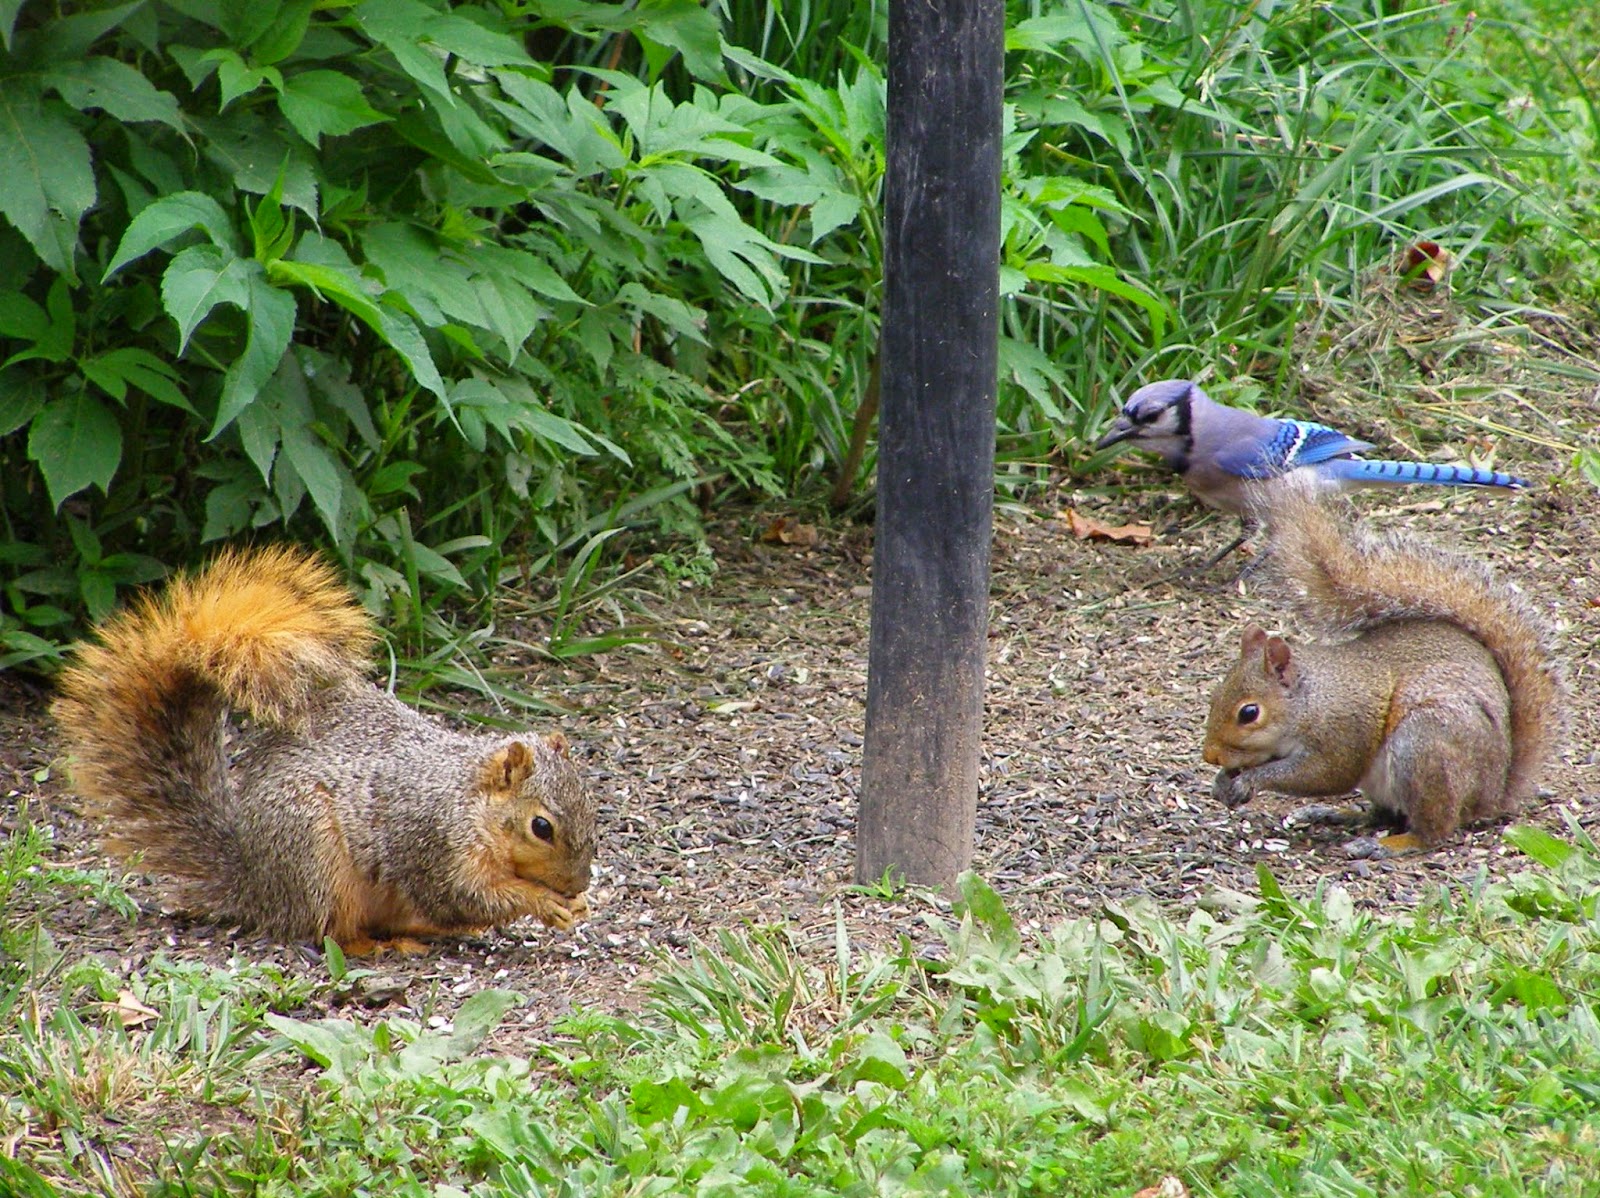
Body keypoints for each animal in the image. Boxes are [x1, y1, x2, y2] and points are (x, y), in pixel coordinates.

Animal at [51, 545, 596, 954]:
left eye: (591, 808)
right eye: (541, 827)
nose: (578, 885)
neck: (468, 800)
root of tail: (255, 882)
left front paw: (574, 907)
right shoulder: (433, 843)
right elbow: (467, 894)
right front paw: (543, 902)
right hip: (314, 854)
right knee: (329, 930)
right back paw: (373, 947)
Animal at [1202, 485, 1564, 850]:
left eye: (1249, 713)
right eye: (1214, 697)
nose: (1210, 756)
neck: (1310, 701)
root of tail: (1492, 795)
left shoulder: (1343, 731)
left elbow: (1325, 774)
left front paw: (1250, 780)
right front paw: (1223, 781)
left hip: (1423, 744)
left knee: (1434, 830)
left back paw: (1386, 844)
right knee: (1383, 816)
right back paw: (1339, 815)